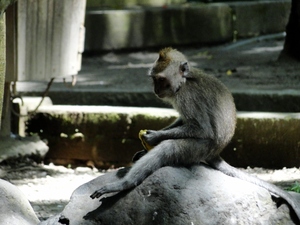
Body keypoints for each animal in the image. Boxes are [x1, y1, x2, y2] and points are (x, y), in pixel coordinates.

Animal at [91, 48, 300, 221]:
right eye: (154, 79)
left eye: (160, 80)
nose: (155, 89)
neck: (185, 81)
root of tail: (215, 152)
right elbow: (183, 120)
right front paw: (152, 137)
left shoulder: (186, 96)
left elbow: (201, 128)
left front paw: (154, 137)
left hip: (199, 149)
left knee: (171, 148)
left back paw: (125, 183)